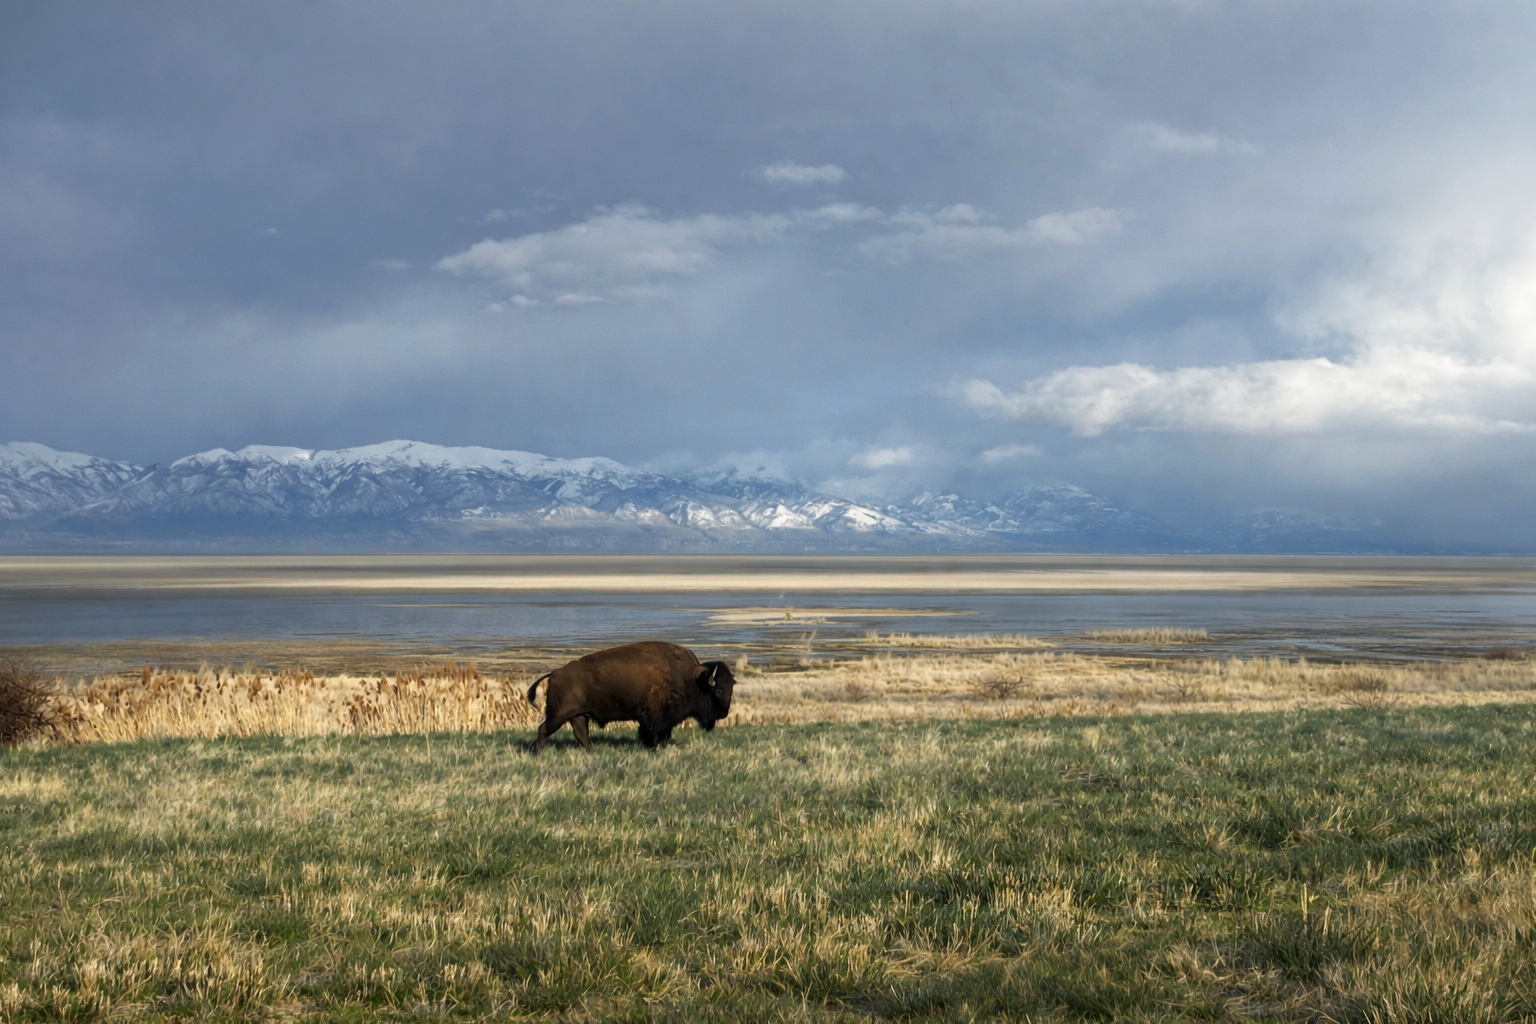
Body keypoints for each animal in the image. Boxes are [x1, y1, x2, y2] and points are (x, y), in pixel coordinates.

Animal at [526, 641, 736, 752]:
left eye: (731, 688)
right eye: (718, 691)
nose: (724, 713)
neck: (692, 677)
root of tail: (554, 673)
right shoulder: (656, 717)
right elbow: (656, 732)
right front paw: (654, 747)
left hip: (577, 715)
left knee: (580, 733)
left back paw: (591, 750)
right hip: (559, 715)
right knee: (544, 729)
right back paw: (538, 752)